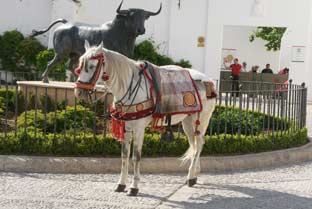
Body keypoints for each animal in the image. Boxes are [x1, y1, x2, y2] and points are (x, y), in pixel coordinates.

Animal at [74, 40, 216, 196]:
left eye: (92, 66)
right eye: (79, 66)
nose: (79, 92)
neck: (128, 87)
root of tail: (208, 81)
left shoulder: (139, 129)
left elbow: (136, 157)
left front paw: (134, 187)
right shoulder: (126, 128)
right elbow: (124, 156)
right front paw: (121, 184)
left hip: (201, 121)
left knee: (199, 144)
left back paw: (191, 177)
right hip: (188, 123)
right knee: (195, 145)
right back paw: (194, 174)